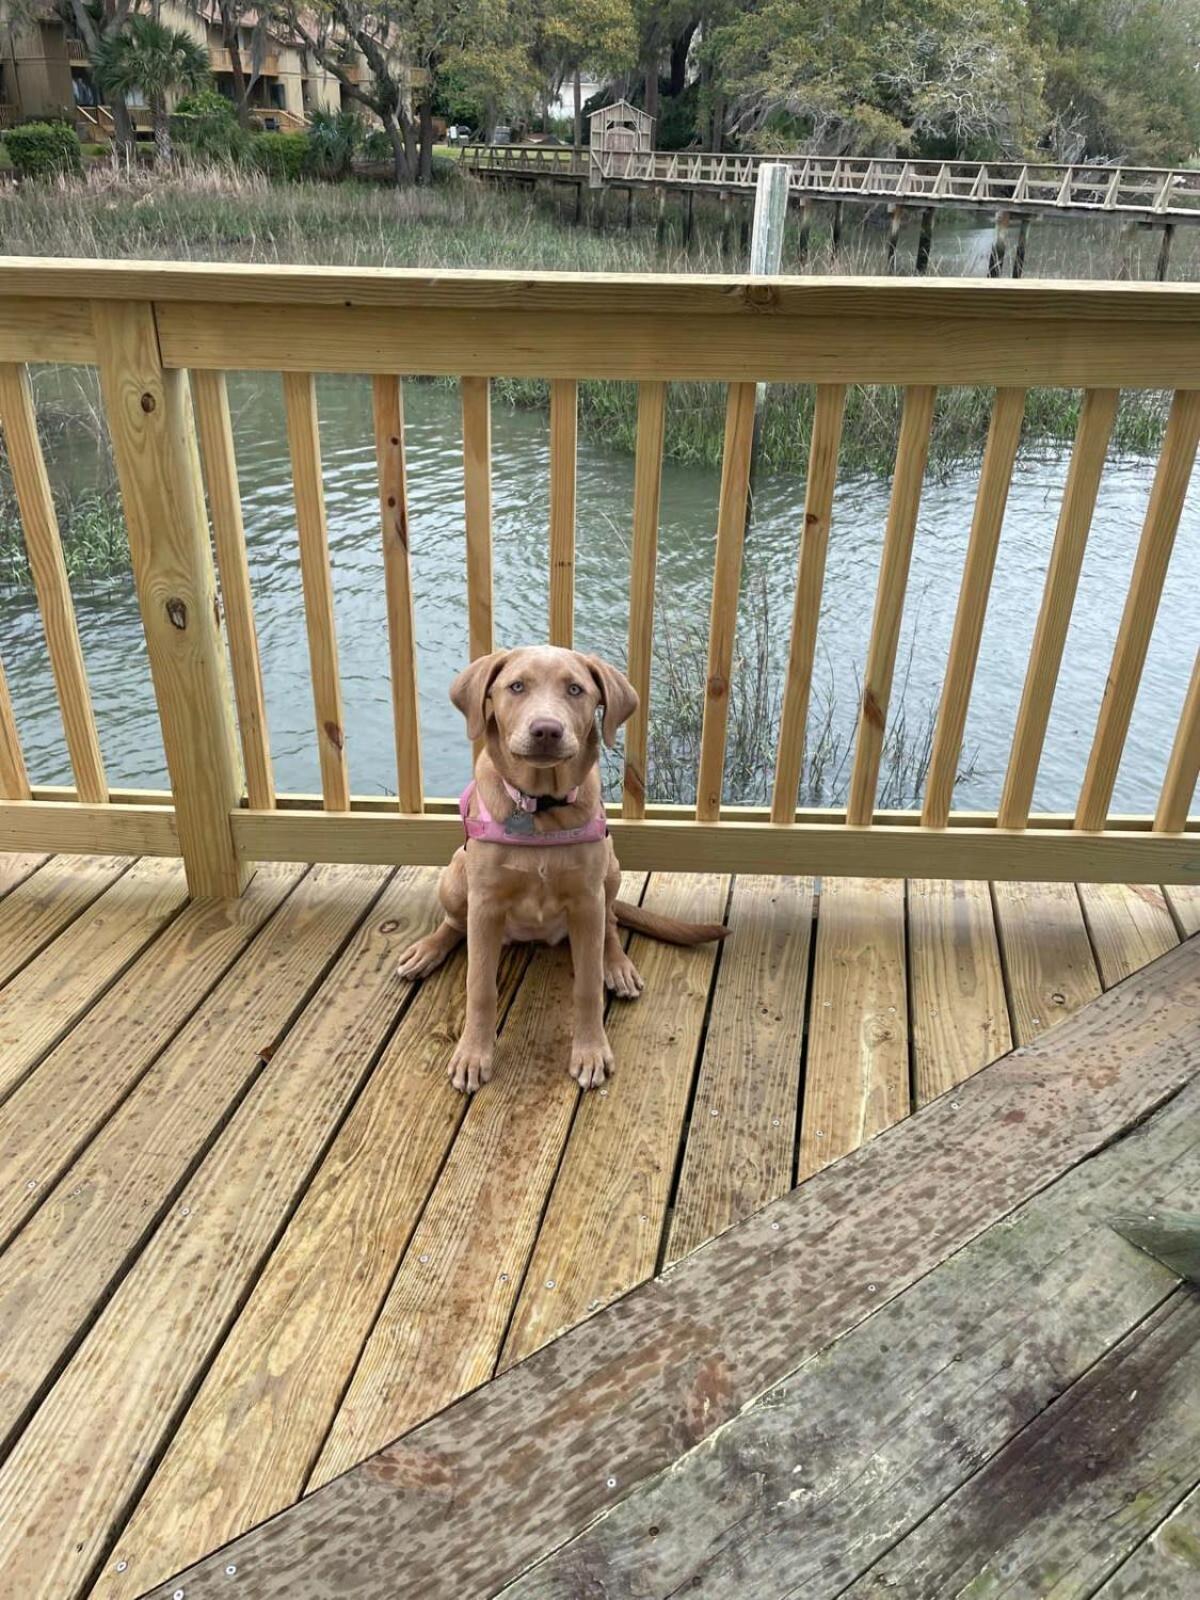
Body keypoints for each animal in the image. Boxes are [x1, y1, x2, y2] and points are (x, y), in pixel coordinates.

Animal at [400, 643, 729, 1094]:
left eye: (575, 689)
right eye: (516, 686)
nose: (546, 730)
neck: (540, 808)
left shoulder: (587, 901)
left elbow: (587, 987)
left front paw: (590, 1051)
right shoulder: (484, 905)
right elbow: (479, 988)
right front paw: (473, 1054)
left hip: (610, 869)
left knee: (611, 922)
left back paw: (617, 966)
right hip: (455, 874)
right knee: (454, 923)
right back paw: (427, 950)